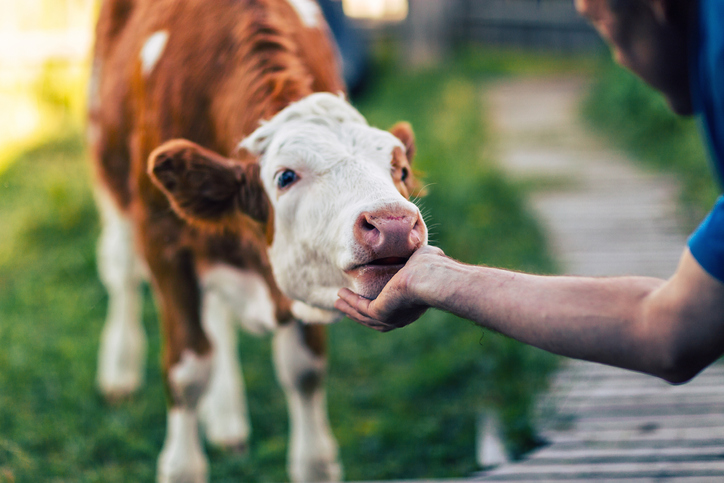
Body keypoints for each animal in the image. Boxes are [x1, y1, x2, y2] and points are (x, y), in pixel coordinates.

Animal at [87, 1, 428, 482]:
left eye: (401, 170)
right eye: (284, 177)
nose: (393, 223)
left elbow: (304, 370)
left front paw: (314, 463)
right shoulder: (162, 239)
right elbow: (188, 371)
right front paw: (182, 465)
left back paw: (227, 416)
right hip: (107, 165)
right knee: (120, 272)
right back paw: (119, 369)